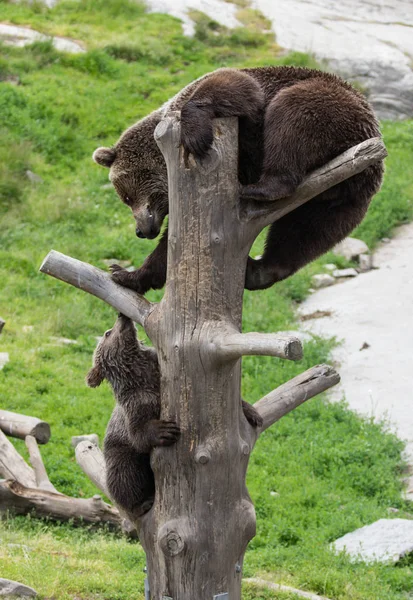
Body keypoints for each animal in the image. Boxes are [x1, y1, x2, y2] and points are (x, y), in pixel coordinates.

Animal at [93, 67, 384, 294]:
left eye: (126, 196)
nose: (141, 230)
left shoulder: (245, 101)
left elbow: (234, 88)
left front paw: (196, 136)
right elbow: (170, 248)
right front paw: (125, 274)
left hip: (328, 107)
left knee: (292, 116)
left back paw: (258, 188)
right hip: (335, 201)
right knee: (304, 233)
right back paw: (258, 271)